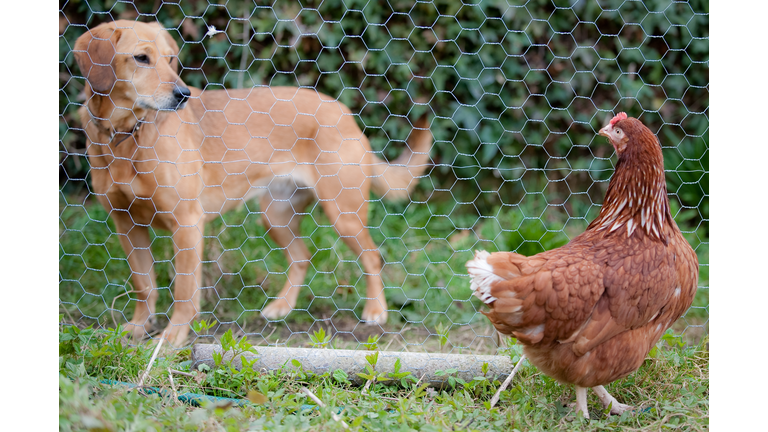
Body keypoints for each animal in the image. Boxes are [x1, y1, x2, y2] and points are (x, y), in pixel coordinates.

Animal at [73, 21, 432, 348]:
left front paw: (173, 337)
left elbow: (184, 292)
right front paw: (137, 327)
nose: (183, 95)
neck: (124, 136)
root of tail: (344, 112)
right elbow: (144, 285)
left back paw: (376, 310)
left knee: (372, 257)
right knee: (302, 257)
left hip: (344, 215)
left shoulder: (187, 224)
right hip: (275, 216)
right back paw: (282, 307)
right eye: (141, 58)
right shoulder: (127, 224)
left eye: (170, 58)